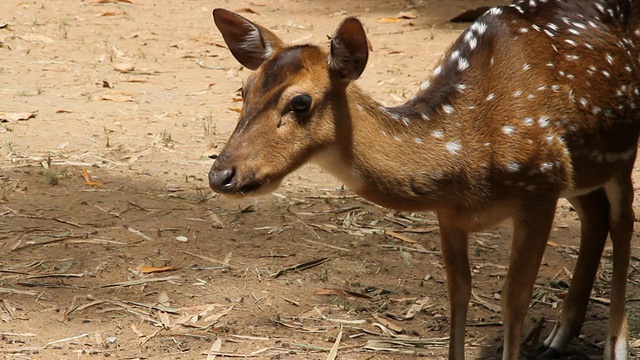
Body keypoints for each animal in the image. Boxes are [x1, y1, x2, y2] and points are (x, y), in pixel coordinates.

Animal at [208, 1, 636, 358]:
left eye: (300, 102)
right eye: (243, 90)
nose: (221, 174)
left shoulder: (540, 186)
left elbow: (514, 298)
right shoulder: (449, 213)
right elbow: (458, 291)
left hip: (618, 153)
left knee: (622, 221)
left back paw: (616, 345)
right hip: (582, 169)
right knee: (595, 214)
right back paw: (559, 336)